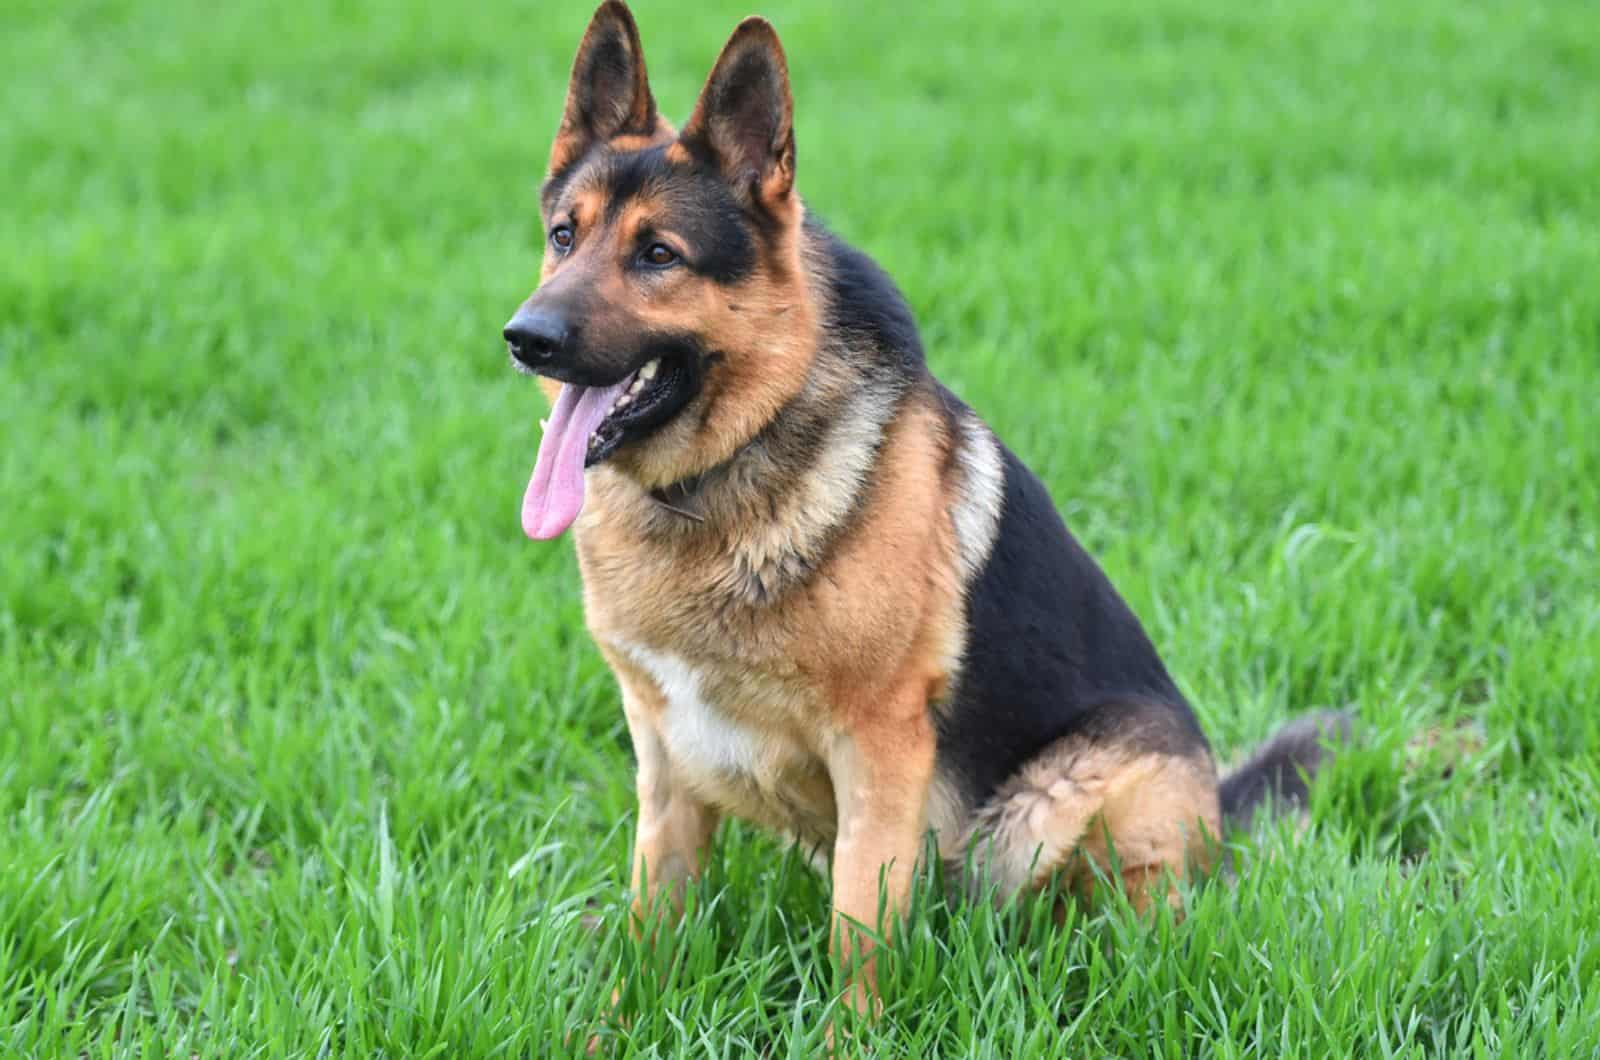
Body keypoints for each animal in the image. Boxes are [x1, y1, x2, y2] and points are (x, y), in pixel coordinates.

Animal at [505, 0, 1344, 1024]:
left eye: (658, 254)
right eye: (563, 236)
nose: (526, 339)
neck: (718, 477)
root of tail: (1220, 809)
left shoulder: (881, 752)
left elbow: (857, 933)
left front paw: (849, 1036)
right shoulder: (664, 760)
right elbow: (651, 923)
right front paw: (614, 1026)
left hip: (1056, 803)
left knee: (1098, 923)